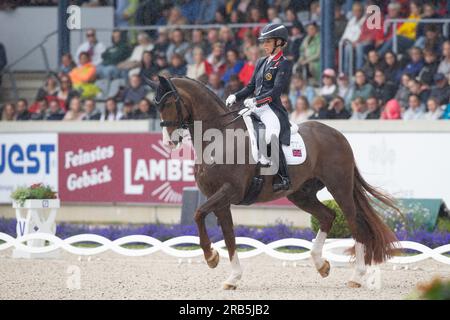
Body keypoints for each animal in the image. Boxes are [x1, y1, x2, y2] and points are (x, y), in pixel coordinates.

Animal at [146, 75, 400, 290]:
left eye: (170, 103)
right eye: (156, 105)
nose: (169, 142)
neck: (220, 137)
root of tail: (337, 134)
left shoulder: (229, 191)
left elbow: (198, 214)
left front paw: (211, 257)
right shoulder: (218, 198)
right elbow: (228, 235)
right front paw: (233, 277)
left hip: (340, 187)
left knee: (354, 223)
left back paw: (356, 276)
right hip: (301, 194)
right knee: (328, 216)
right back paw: (321, 265)